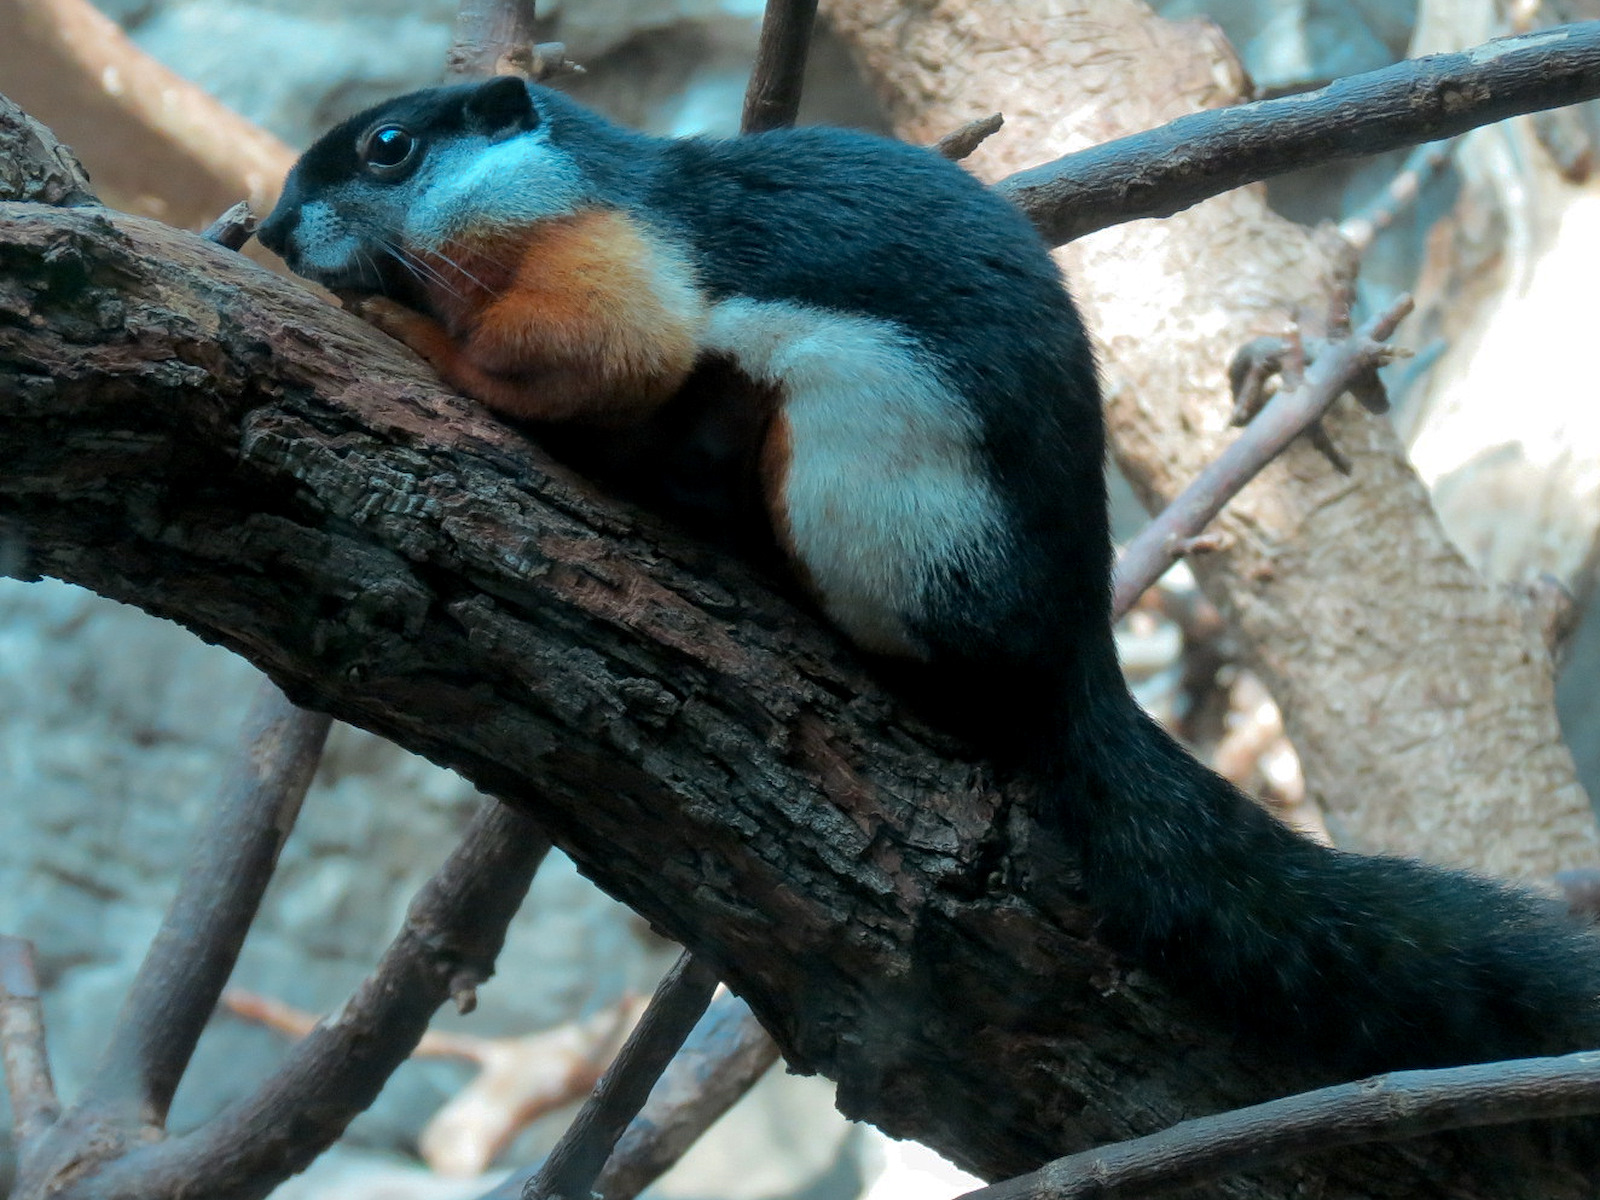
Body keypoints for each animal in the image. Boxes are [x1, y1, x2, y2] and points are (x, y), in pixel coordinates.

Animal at [257, 75, 1600, 1076]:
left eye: (387, 147)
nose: (273, 228)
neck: (578, 193)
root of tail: (1074, 650)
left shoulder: (616, 284)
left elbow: (561, 360)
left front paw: (400, 324)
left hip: (850, 482)